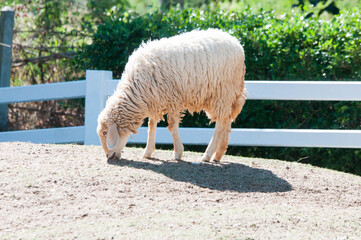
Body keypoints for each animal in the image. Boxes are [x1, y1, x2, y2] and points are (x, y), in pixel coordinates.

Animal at [97, 28, 246, 163]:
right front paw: (148, 152)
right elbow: (151, 125)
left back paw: (207, 155)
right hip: (227, 94)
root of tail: (236, 42)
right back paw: (218, 155)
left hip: (222, 91)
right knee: (227, 120)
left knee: (220, 124)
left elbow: (172, 126)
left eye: (105, 133)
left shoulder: (173, 99)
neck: (137, 90)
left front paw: (178, 153)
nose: (109, 157)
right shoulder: (154, 99)